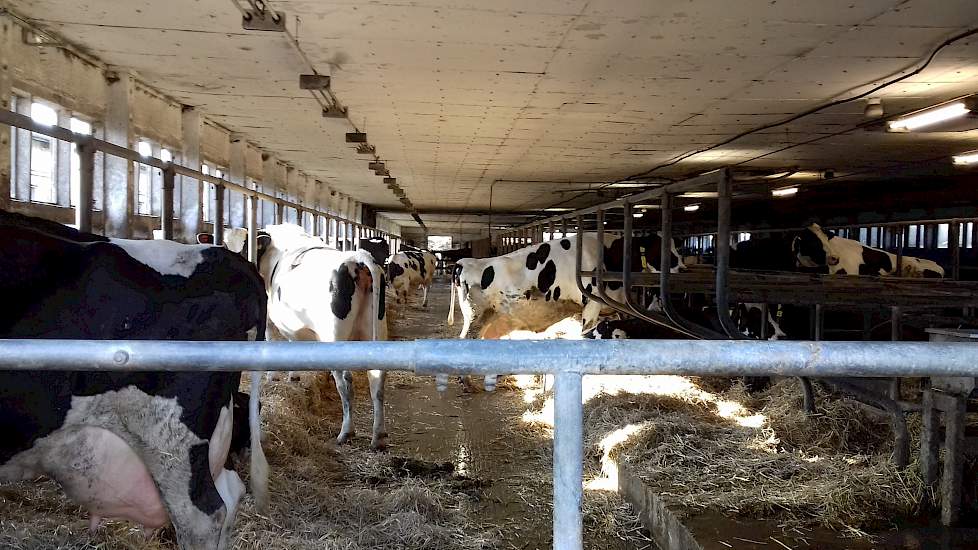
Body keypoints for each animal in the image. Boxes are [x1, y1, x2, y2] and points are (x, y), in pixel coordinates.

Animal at [258, 226, 390, 450]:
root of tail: (356, 259)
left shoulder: (269, 316)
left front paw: (275, 377)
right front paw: (294, 376)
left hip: (335, 338)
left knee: (345, 383)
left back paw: (346, 432)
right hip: (377, 331)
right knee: (377, 380)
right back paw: (378, 436)